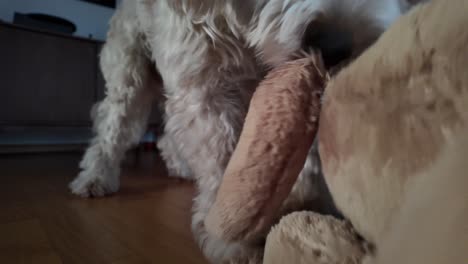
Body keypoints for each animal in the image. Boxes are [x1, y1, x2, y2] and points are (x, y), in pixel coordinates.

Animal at [70, 1, 414, 262]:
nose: (334, 46)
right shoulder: (204, 80)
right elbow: (226, 163)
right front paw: (235, 239)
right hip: (130, 72)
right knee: (113, 124)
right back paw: (95, 178)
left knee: (166, 132)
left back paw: (179, 167)